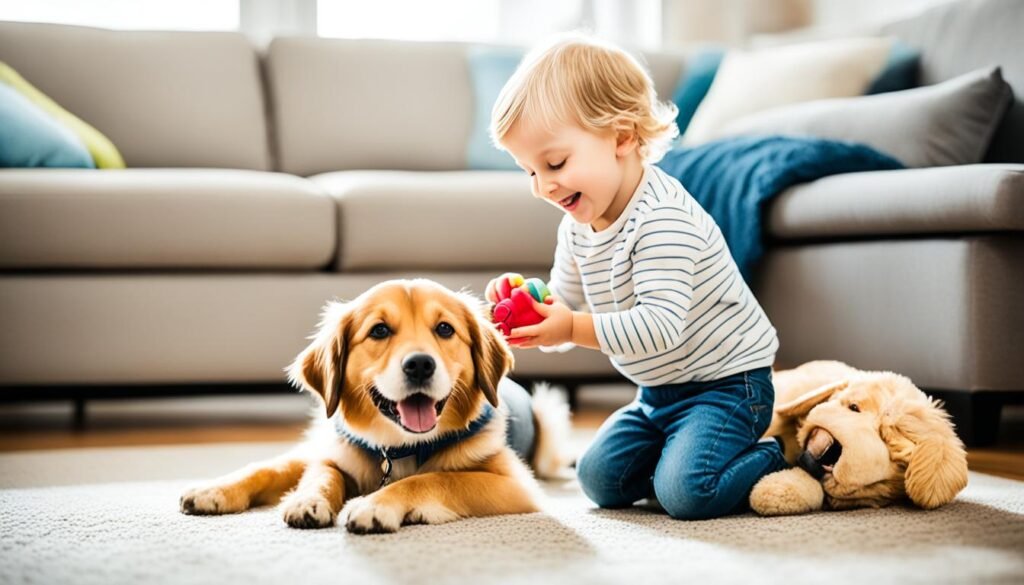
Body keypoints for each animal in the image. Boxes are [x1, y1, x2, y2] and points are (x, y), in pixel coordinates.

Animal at [180, 280, 573, 536]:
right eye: (380, 331)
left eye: (445, 329)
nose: (419, 365)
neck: (398, 447)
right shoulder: (337, 452)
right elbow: (323, 474)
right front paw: (309, 501)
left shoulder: (515, 485)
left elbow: (436, 477)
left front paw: (376, 504)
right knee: (270, 466)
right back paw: (211, 491)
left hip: (547, 416)